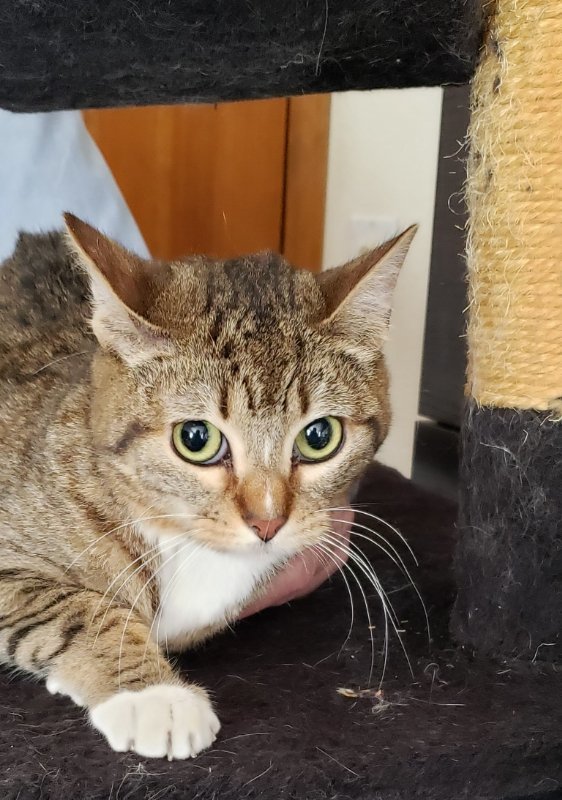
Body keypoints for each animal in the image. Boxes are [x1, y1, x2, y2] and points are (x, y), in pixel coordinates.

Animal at [0, 212, 412, 756]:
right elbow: (77, 607)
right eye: (195, 438)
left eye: (320, 436)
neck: (181, 538)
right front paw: (151, 695)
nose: (267, 521)